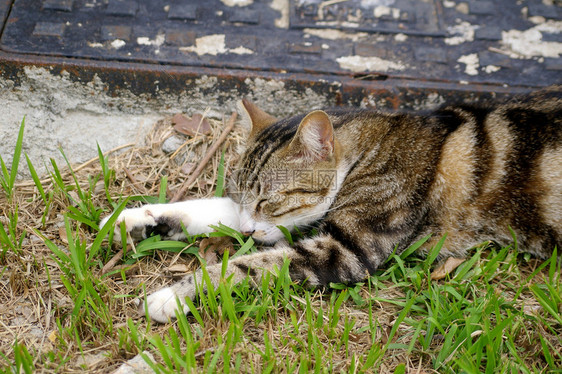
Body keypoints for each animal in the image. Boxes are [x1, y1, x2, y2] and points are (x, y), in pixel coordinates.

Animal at [101, 86, 560, 322]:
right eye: (244, 196)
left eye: (271, 201)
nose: (249, 230)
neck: (372, 146)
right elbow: (213, 211)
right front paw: (137, 217)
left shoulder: (346, 249)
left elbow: (245, 266)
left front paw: (173, 296)